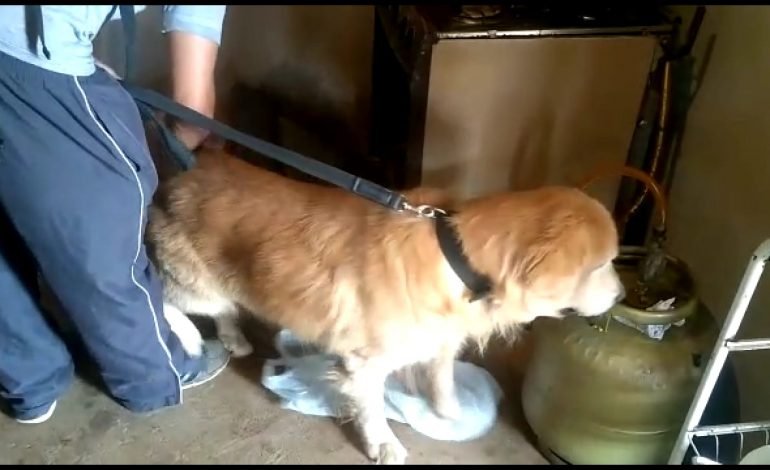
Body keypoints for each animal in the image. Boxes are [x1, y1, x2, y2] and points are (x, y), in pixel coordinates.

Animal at [145, 147, 624, 465]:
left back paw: (233, 336)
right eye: (602, 264)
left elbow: (441, 374)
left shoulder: (439, 336)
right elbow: (373, 407)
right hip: (195, 284)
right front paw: (382, 443)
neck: (457, 255)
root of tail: (187, 170)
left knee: (221, 306)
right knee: (160, 294)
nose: (621, 296)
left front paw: (448, 409)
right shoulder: (365, 362)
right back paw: (190, 338)